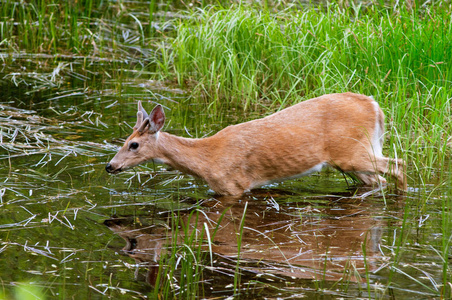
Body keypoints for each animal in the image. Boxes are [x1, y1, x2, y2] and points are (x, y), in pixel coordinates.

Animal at [105, 92, 406, 196]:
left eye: (133, 145)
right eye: (125, 140)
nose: (110, 166)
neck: (206, 158)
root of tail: (375, 106)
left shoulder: (234, 187)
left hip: (354, 152)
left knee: (398, 165)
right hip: (357, 157)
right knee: (380, 179)